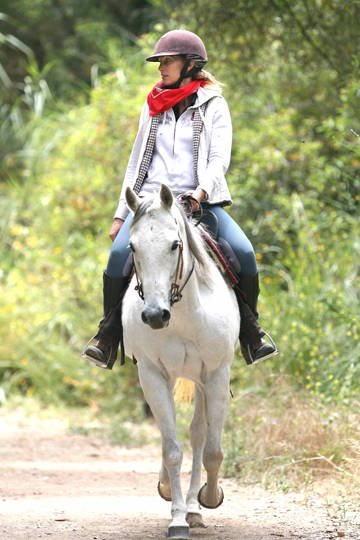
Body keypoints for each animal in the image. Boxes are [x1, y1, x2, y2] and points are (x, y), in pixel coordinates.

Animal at [123, 184, 239, 536]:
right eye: (132, 247)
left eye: (175, 244)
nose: (154, 316)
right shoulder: (153, 375)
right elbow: (171, 449)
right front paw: (177, 519)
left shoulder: (217, 375)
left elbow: (213, 450)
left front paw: (209, 498)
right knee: (175, 434)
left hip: (202, 381)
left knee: (199, 434)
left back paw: (195, 509)